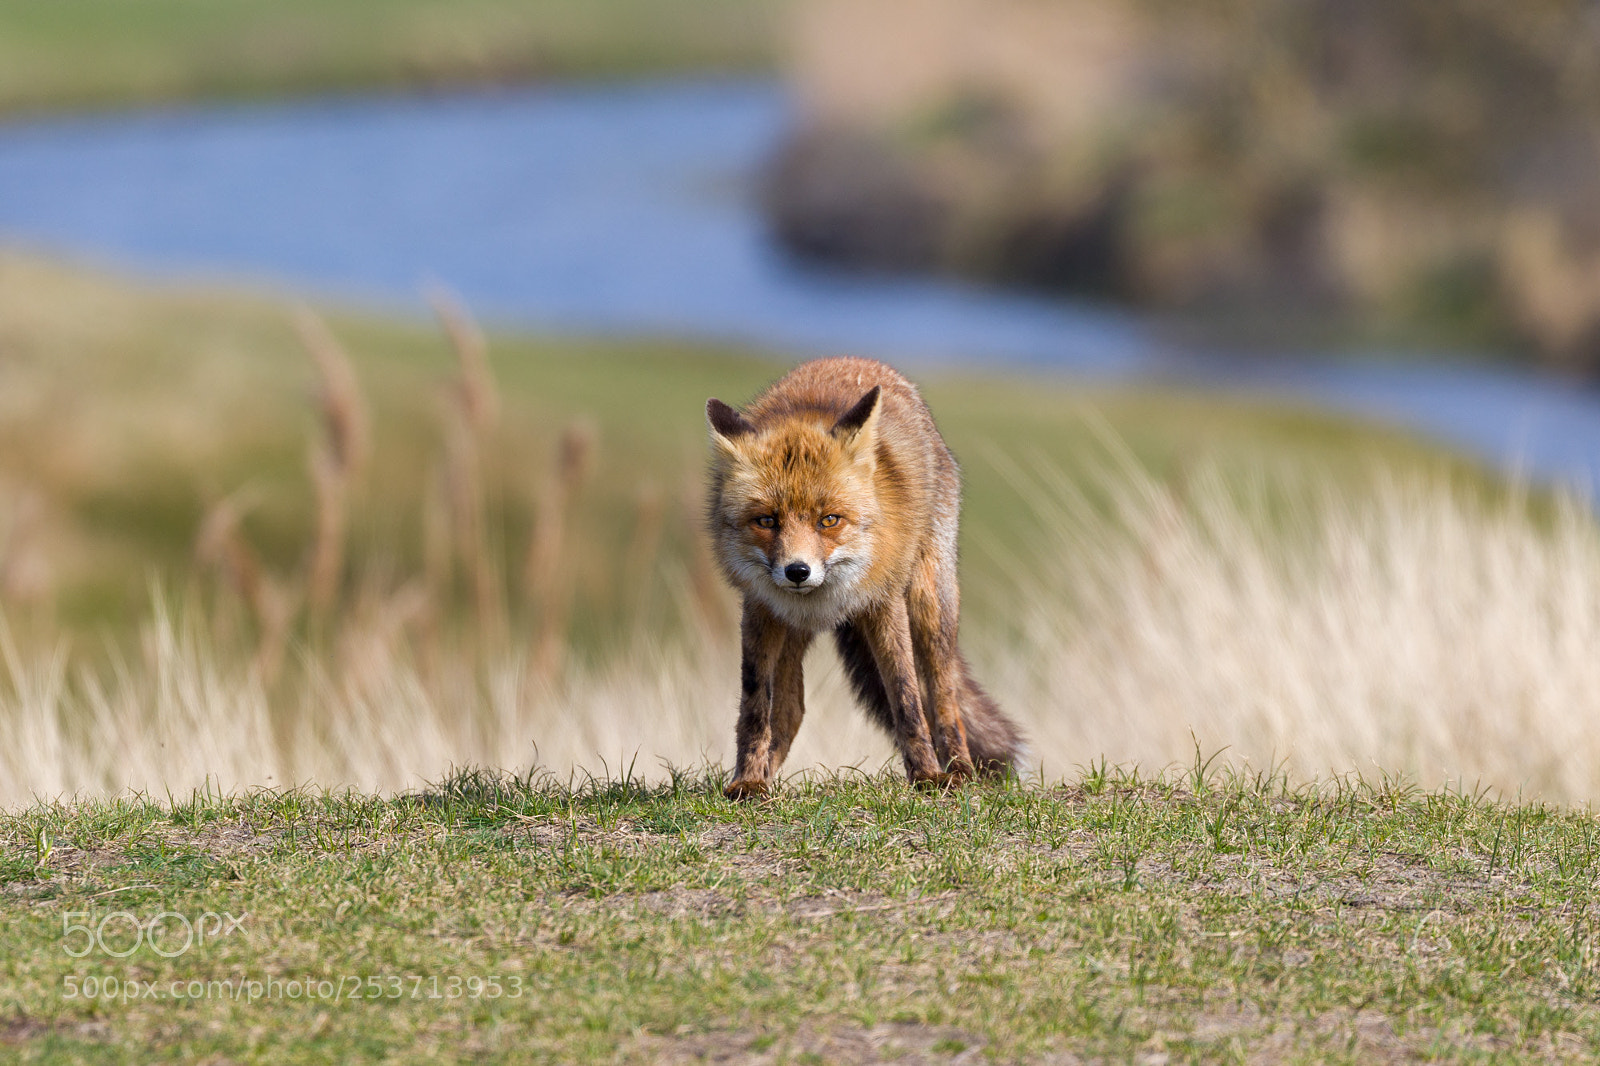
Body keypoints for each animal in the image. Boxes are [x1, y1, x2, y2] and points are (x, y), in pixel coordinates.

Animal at [705, 356, 1025, 799]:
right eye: (767, 520)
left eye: (829, 520)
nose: (797, 571)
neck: (823, 600)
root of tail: (859, 360)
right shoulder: (761, 612)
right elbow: (754, 708)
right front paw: (748, 781)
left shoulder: (883, 604)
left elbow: (907, 699)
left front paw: (927, 776)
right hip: (791, 633)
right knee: (790, 709)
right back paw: (766, 775)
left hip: (929, 604)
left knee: (944, 696)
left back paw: (958, 770)